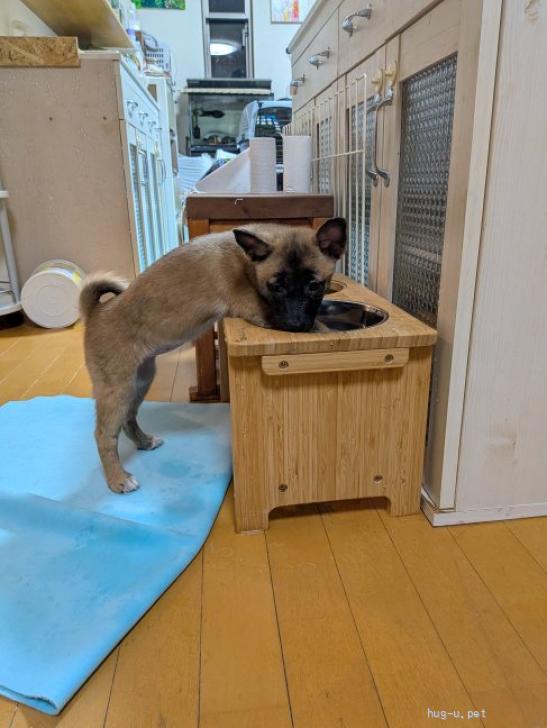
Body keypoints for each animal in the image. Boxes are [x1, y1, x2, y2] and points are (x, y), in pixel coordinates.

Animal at [80, 218, 347, 494]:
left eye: (315, 286)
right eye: (276, 287)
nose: (296, 326)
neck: (245, 260)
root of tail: (96, 312)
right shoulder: (262, 313)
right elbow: (321, 328)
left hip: (139, 381)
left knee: (128, 419)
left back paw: (144, 442)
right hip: (116, 389)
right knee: (104, 435)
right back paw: (118, 479)